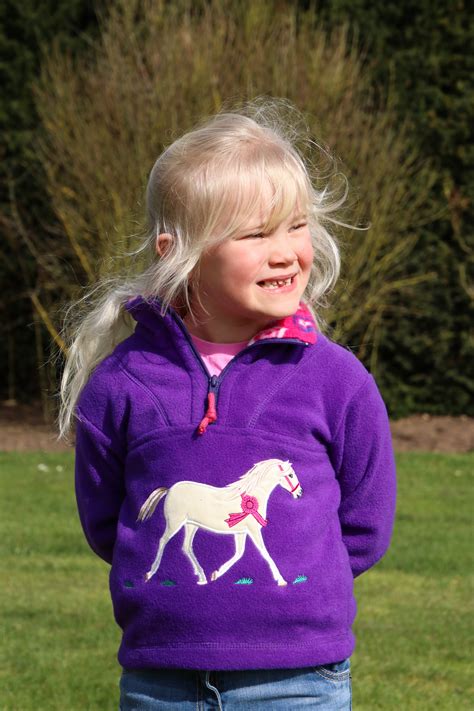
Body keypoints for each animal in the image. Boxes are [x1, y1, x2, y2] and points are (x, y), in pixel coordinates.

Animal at [137, 458, 303, 586]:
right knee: (163, 541)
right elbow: (265, 553)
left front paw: (216, 574)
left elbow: (239, 553)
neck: (252, 497)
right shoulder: (253, 530)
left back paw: (202, 577)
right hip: (175, 522)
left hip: (191, 525)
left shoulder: (241, 532)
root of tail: (170, 489)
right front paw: (281, 580)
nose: (299, 493)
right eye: (290, 475)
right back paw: (150, 573)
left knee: (186, 547)